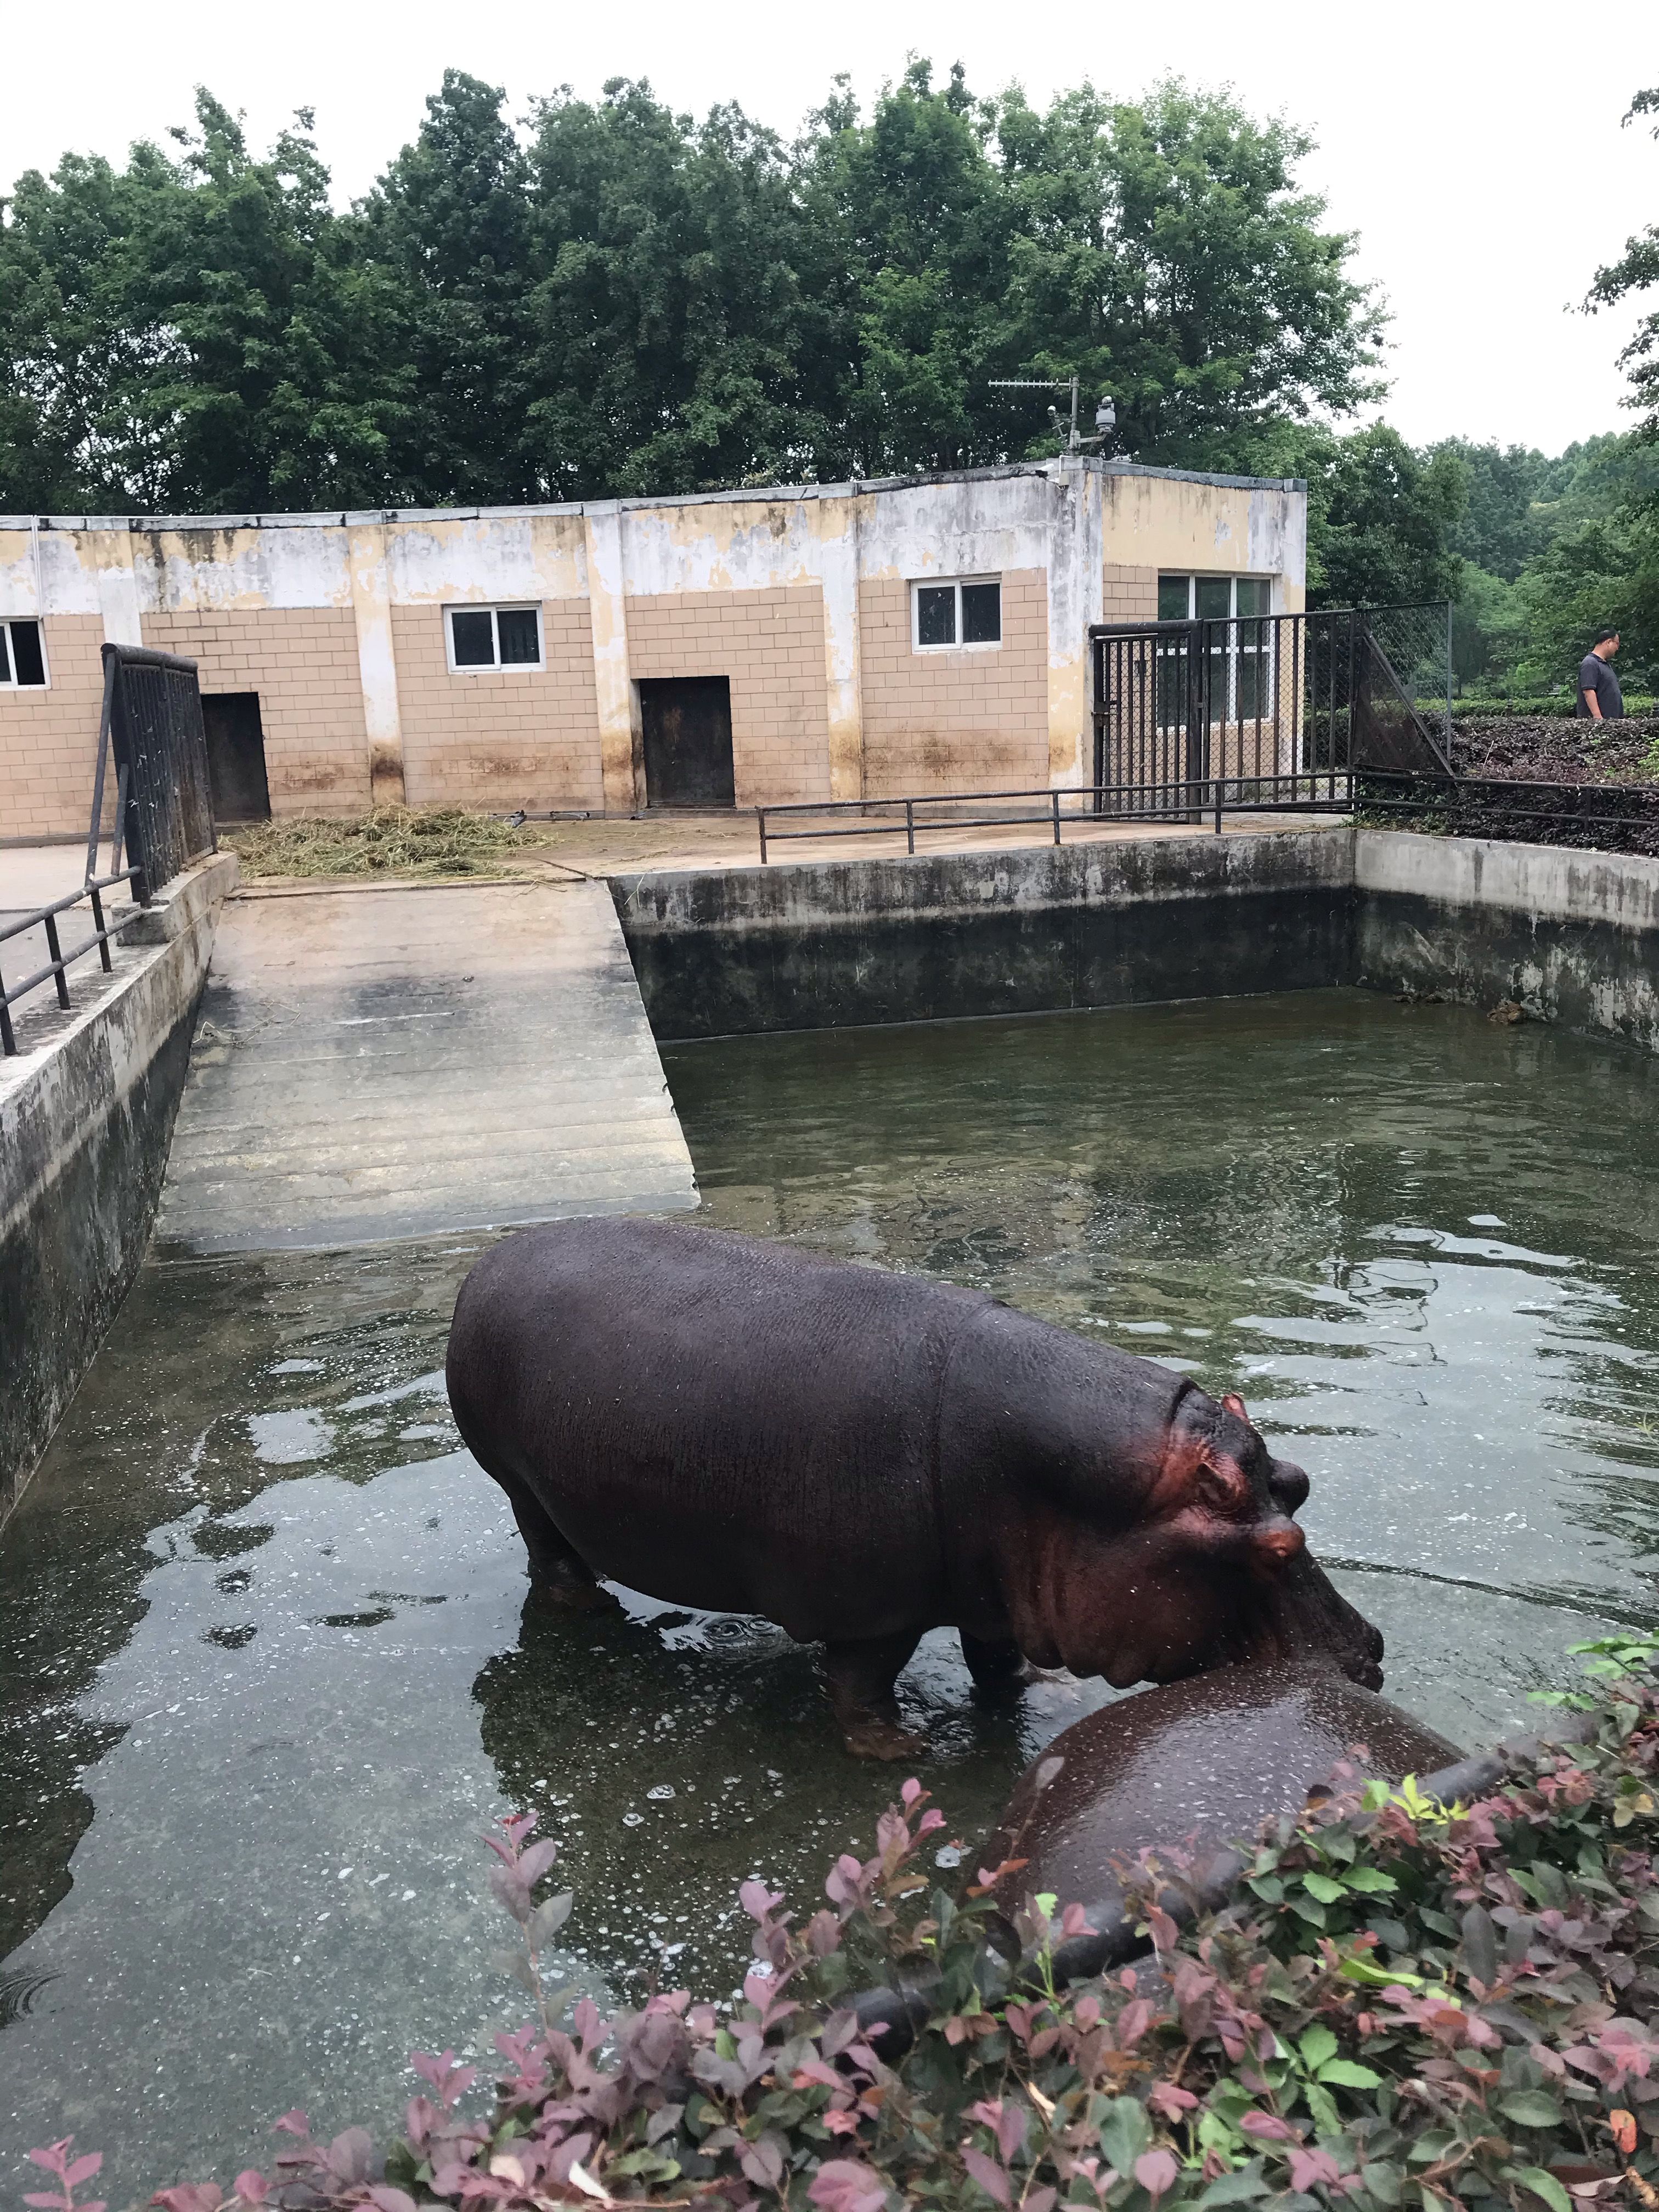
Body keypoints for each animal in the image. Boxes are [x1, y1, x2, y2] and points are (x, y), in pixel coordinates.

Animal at [449, 1221, 1380, 1752]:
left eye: (1298, 1481)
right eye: (1278, 1547)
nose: (1371, 1656)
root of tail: (490, 1258)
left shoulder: (1001, 1595)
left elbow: (996, 1664)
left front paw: (1040, 1694)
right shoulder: (874, 1610)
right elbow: (860, 1687)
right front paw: (904, 1756)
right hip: (517, 1482)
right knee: (549, 1554)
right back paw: (590, 1612)